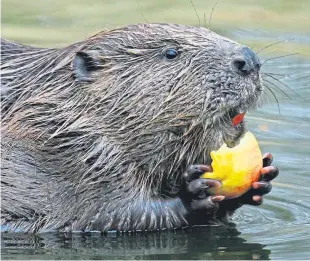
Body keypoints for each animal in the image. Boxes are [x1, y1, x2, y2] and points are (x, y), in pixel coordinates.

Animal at [0, 23, 280, 232]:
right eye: (170, 52)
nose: (249, 60)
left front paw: (264, 175)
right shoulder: (69, 158)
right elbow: (113, 212)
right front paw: (194, 194)